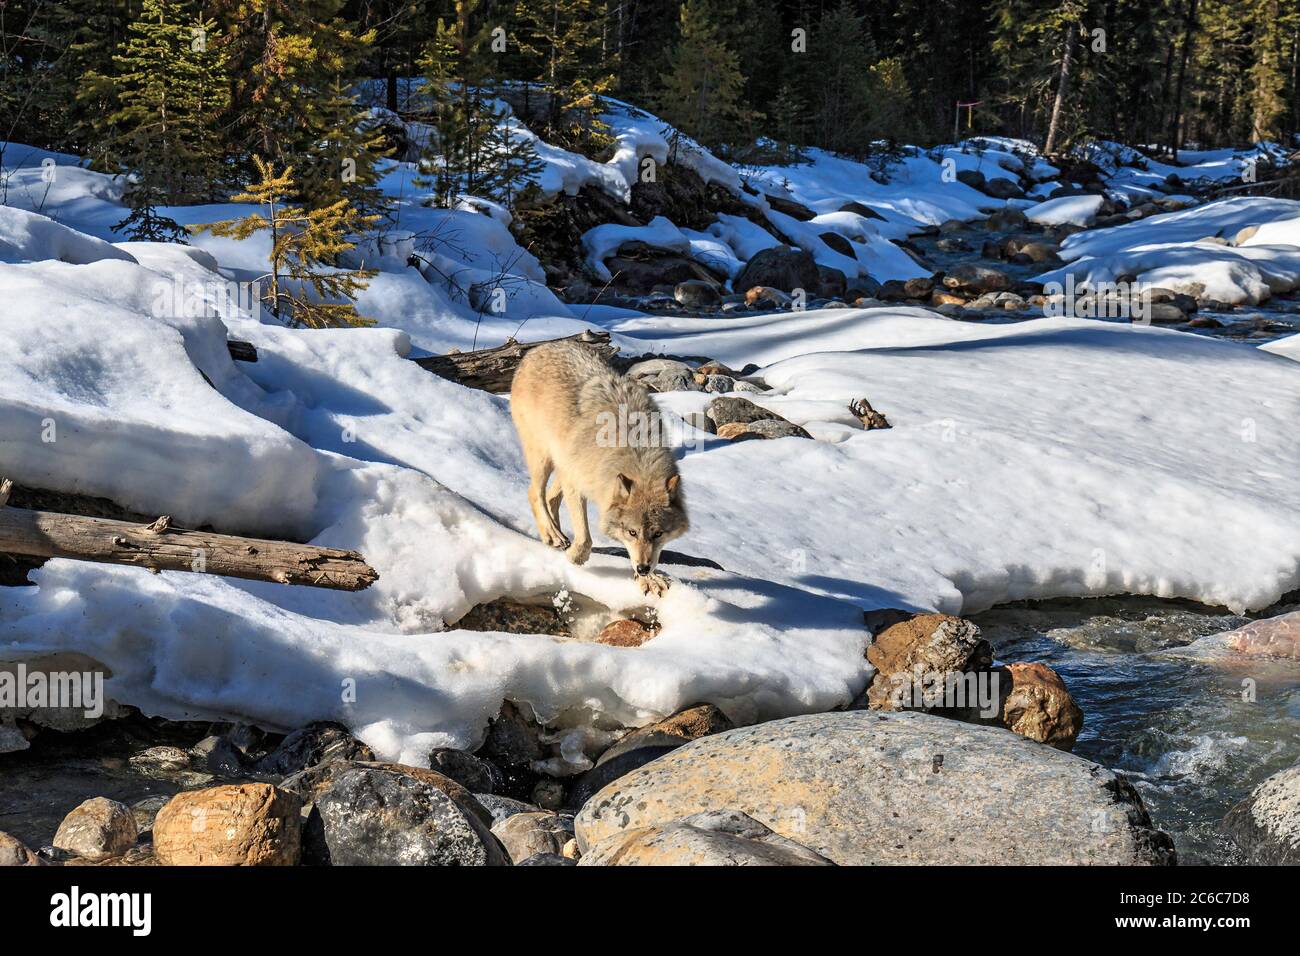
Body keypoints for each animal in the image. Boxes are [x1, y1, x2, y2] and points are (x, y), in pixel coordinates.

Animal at [510, 340, 689, 596]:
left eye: (658, 534)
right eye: (632, 532)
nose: (643, 568)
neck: (635, 451)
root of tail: (537, 349)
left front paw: (649, 579)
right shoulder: (577, 484)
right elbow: (585, 538)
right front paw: (575, 557)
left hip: (563, 463)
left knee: (551, 497)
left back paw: (558, 535)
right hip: (544, 456)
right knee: (535, 492)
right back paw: (552, 535)